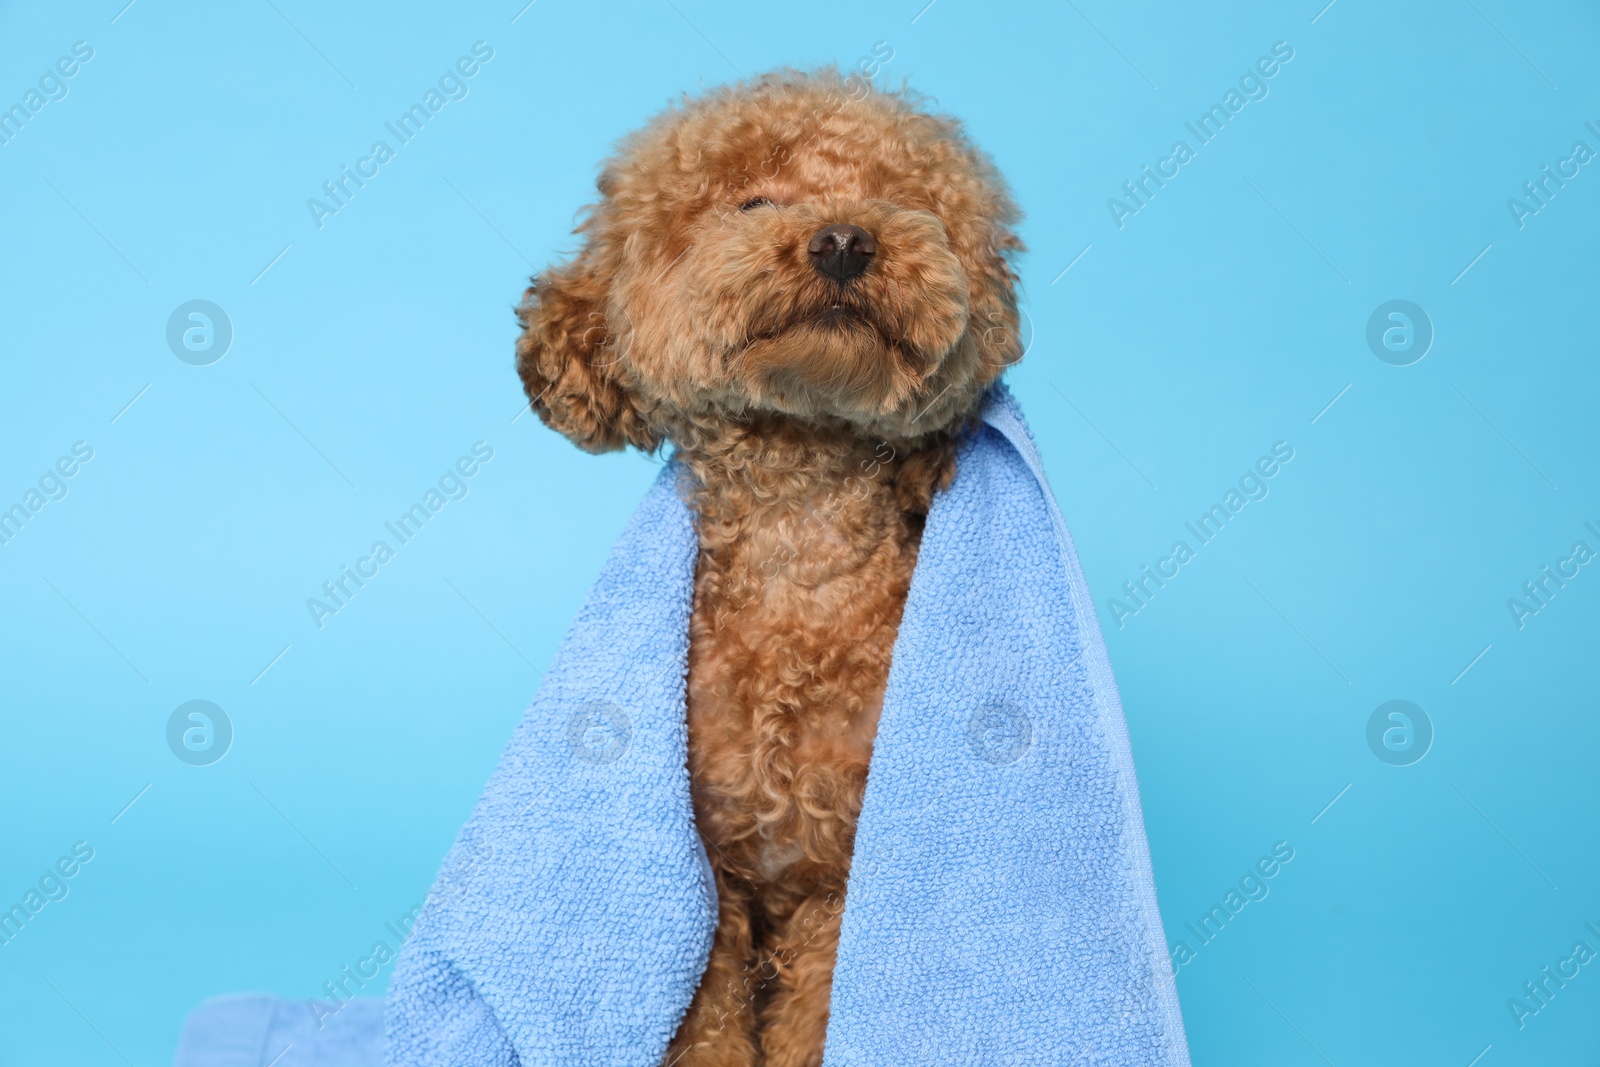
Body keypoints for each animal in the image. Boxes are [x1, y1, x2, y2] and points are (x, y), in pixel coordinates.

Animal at [518, 68, 1030, 1067]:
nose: (844, 240)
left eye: (900, 202)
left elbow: (821, 1021)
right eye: (752, 203)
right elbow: (706, 1027)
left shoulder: (843, 885)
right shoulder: (709, 886)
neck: (801, 555)